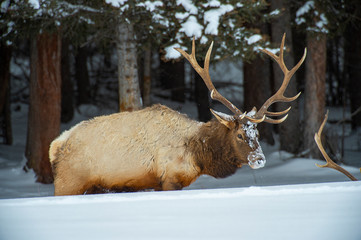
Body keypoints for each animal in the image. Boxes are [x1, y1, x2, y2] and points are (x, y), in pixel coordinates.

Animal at [49, 34, 306, 195]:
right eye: (240, 135)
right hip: (68, 182)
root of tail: (56, 145)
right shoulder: (170, 178)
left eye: (257, 133)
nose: (259, 159)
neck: (198, 154)